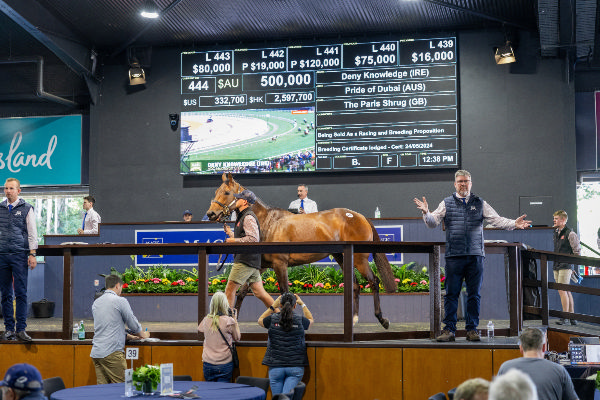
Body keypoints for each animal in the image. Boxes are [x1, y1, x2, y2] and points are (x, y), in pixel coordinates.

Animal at [204, 172, 396, 328]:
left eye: (226, 192)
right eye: (215, 192)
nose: (211, 214)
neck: (268, 223)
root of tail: (360, 216)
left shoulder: (280, 264)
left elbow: (284, 292)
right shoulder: (262, 265)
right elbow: (243, 291)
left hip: (360, 259)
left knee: (373, 281)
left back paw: (382, 319)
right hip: (342, 257)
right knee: (356, 285)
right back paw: (354, 320)